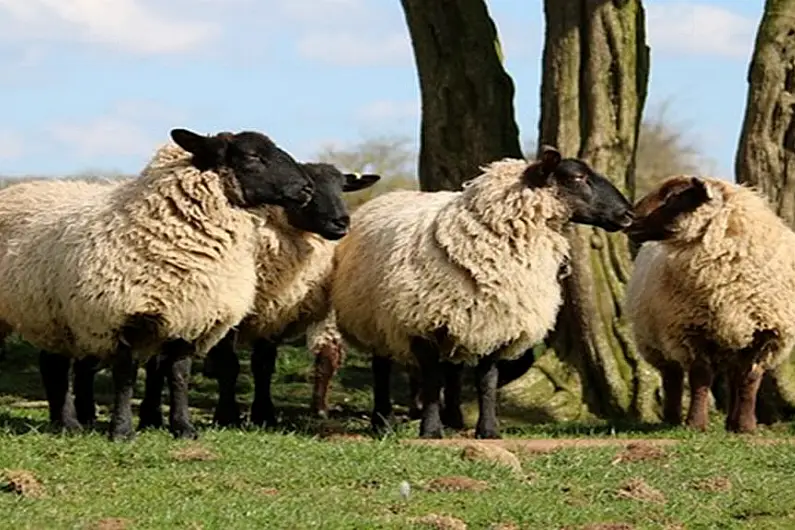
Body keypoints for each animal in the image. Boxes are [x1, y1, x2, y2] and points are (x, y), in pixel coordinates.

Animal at [3, 127, 322, 438]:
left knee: (52, 365)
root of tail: (21, 188)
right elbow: (126, 377)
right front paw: (122, 431)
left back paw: (65, 424)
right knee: (57, 367)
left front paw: (183, 428)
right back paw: (70, 424)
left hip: (51, 315)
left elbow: (179, 375)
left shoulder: (191, 317)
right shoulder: (125, 315)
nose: (307, 189)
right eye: (252, 156)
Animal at [132, 161, 380, 428]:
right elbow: (228, 365)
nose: (341, 223)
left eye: (342, 187)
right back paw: (150, 416)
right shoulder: (231, 314)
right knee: (156, 362)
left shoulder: (273, 312)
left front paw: (264, 414)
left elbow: (263, 365)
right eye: (309, 188)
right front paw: (227, 416)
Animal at [330, 145, 636, 438]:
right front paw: (430, 430)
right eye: (577, 177)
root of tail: (388, 196)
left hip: (456, 319)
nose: (628, 214)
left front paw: (488, 430)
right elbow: (431, 379)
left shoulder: (496, 323)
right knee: (382, 368)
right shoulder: (421, 323)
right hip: (374, 318)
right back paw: (382, 422)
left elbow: (486, 381)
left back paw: (453, 418)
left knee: (452, 368)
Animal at [624, 175, 795, 432]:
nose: (628, 218)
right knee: (672, 377)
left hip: (733, 340)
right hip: (656, 342)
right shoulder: (691, 329)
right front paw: (696, 424)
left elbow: (750, 379)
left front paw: (746, 426)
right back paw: (672, 418)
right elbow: (700, 376)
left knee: (734, 378)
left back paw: (731, 422)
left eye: (674, 196)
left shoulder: (766, 333)